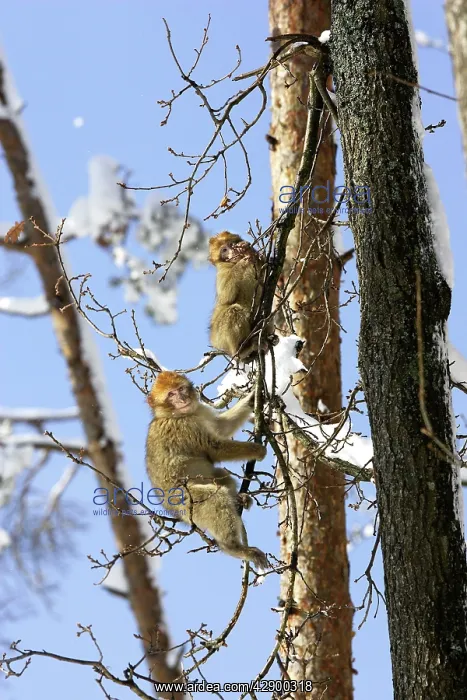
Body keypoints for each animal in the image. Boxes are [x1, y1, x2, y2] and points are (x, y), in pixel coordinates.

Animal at [146, 371, 269, 569]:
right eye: (171, 394)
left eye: (181, 388)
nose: (182, 398)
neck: (174, 415)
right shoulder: (185, 427)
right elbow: (215, 448)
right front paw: (257, 450)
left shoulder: (200, 411)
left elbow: (221, 426)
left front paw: (252, 398)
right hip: (187, 502)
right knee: (215, 498)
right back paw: (234, 548)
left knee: (222, 475)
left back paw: (239, 499)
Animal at [208, 231, 273, 360]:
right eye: (224, 250)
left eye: (231, 244)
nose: (233, 251)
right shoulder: (222, 271)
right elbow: (225, 297)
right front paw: (243, 261)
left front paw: (250, 251)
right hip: (220, 335)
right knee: (233, 310)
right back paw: (242, 349)